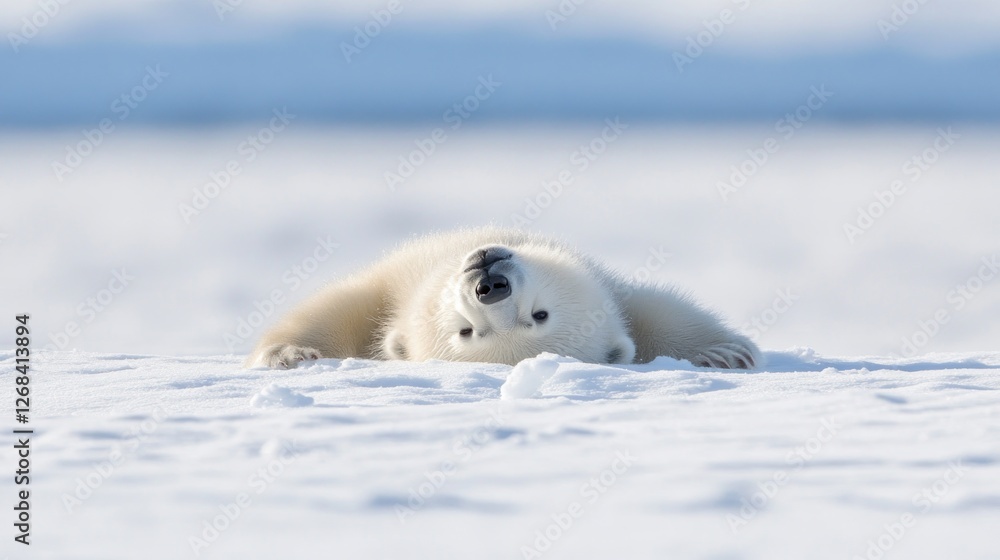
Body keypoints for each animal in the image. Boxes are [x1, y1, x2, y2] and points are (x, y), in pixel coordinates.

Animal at [245, 227, 761, 370]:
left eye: (539, 315)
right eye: (466, 329)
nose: (489, 286)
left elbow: (659, 315)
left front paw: (725, 353)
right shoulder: (392, 285)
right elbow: (339, 308)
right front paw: (289, 352)